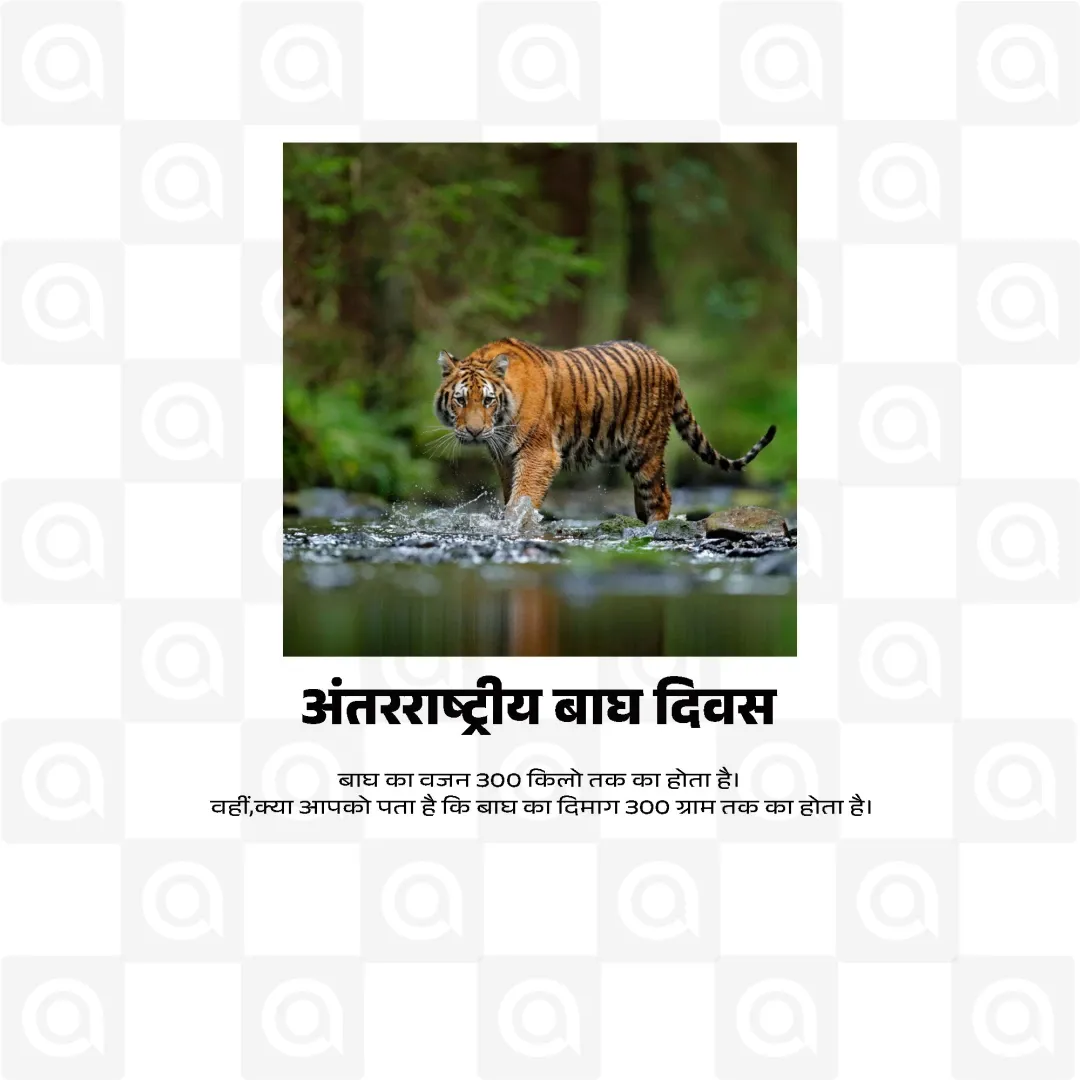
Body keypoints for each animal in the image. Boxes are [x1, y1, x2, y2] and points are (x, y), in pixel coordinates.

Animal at [433, 337, 777, 523]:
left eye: (488, 400)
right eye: (460, 400)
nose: (474, 432)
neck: (501, 423)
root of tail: (666, 362)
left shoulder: (538, 453)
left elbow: (523, 499)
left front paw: (515, 525)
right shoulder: (504, 458)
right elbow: (511, 496)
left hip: (646, 449)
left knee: (661, 496)